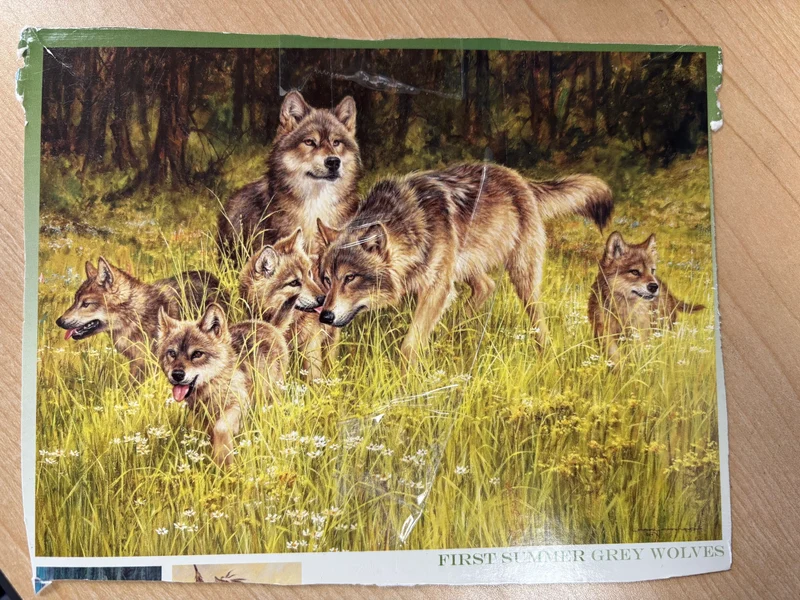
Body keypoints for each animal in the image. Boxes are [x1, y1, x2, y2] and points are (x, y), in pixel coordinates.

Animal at [55, 257, 226, 382]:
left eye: (86, 304)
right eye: (75, 301)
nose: (59, 321)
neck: (135, 316)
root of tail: (211, 276)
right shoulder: (137, 362)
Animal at [157, 303, 288, 466]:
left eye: (197, 354)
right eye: (172, 353)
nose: (177, 375)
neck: (213, 385)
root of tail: (270, 325)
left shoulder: (239, 404)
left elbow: (220, 428)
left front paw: (224, 462)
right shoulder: (203, 416)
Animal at [316, 162, 613, 363]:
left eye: (350, 277)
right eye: (327, 279)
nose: (324, 315)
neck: (410, 227)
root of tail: (520, 179)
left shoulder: (436, 288)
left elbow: (410, 345)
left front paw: (407, 382)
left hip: (520, 276)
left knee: (535, 314)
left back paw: (545, 352)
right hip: (464, 268)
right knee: (486, 286)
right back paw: (454, 334)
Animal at [588, 231, 705, 360]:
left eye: (652, 270)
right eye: (634, 272)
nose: (654, 287)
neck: (624, 308)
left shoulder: (639, 334)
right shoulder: (606, 334)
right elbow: (615, 357)